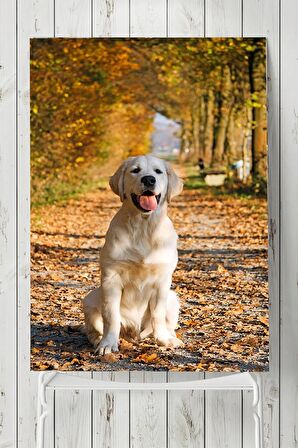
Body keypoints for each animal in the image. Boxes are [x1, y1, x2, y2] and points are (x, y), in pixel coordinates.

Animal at [82, 154, 183, 354]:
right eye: (135, 170)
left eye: (158, 171)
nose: (149, 179)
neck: (143, 226)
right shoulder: (111, 278)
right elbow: (110, 316)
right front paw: (107, 344)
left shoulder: (163, 281)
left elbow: (158, 314)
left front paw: (163, 339)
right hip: (90, 299)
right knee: (93, 329)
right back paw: (98, 340)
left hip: (173, 298)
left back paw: (169, 336)